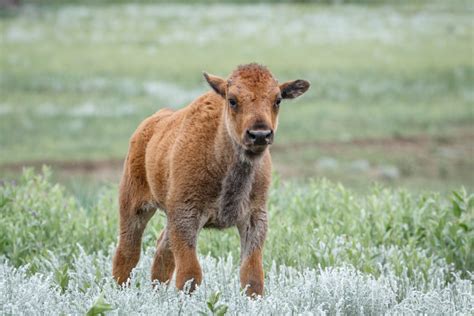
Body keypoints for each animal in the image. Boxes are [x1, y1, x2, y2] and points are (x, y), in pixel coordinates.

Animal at [112, 62, 310, 296]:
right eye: (232, 100)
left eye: (277, 99)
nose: (260, 134)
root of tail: (147, 127)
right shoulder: (186, 217)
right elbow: (190, 274)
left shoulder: (254, 217)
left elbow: (252, 275)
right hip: (134, 205)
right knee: (128, 252)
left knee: (162, 250)